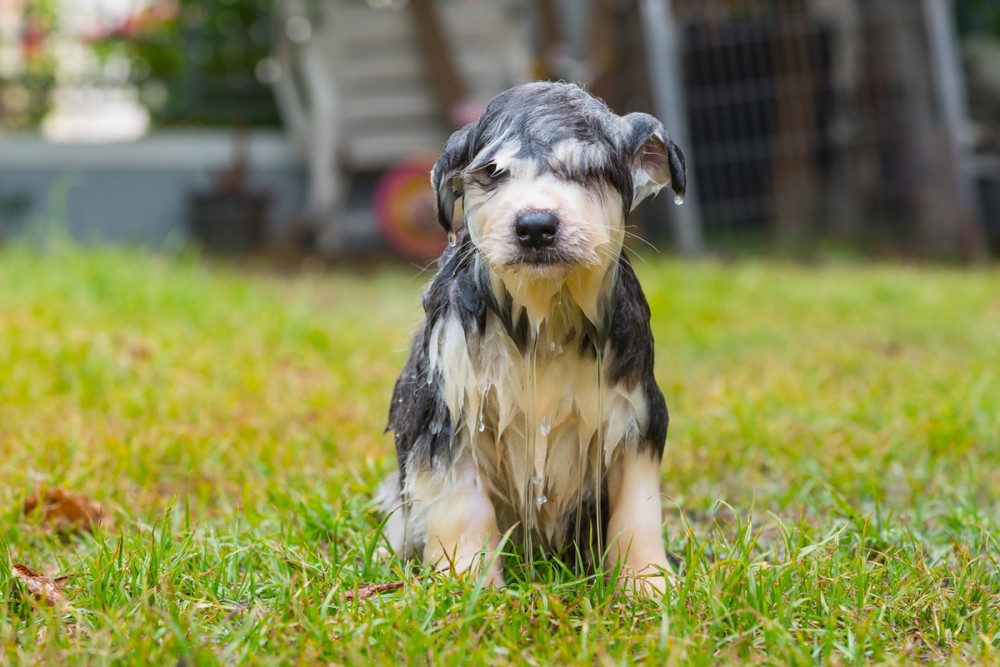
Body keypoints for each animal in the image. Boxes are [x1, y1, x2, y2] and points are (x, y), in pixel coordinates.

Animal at [380, 81, 688, 592]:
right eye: (493, 172)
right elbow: (466, 509)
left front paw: (648, 583)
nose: (536, 226)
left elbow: (637, 510)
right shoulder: (450, 414)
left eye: (589, 171)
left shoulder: (637, 413)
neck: (544, 320)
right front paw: (470, 586)